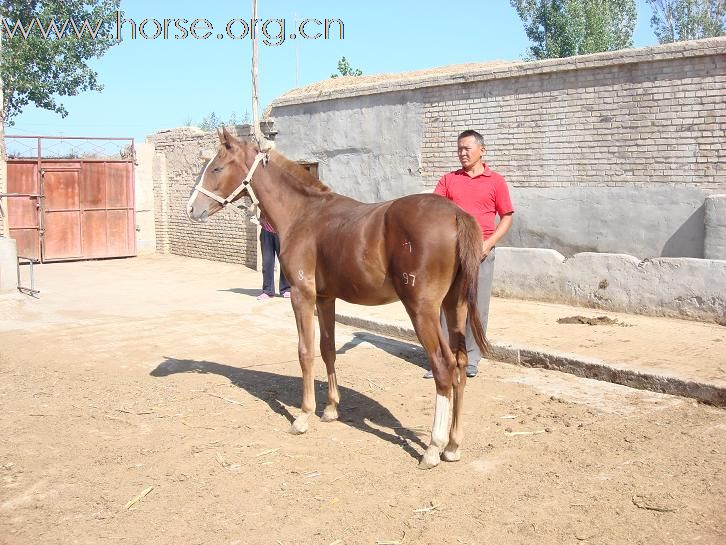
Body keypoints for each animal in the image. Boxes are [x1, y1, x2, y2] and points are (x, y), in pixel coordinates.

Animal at [186, 129, 490, 468]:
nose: (191, 209)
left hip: (422, 311)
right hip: (454, 306)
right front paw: (331, 409)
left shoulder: (302, 296)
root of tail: (456, 214)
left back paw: (434, 448)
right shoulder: (325, 298)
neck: (303, 215)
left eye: (216, 167)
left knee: (443, 367)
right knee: (460, 364)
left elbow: (305, 352)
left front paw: (303, 416)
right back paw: (453, 445)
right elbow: (327, 349)